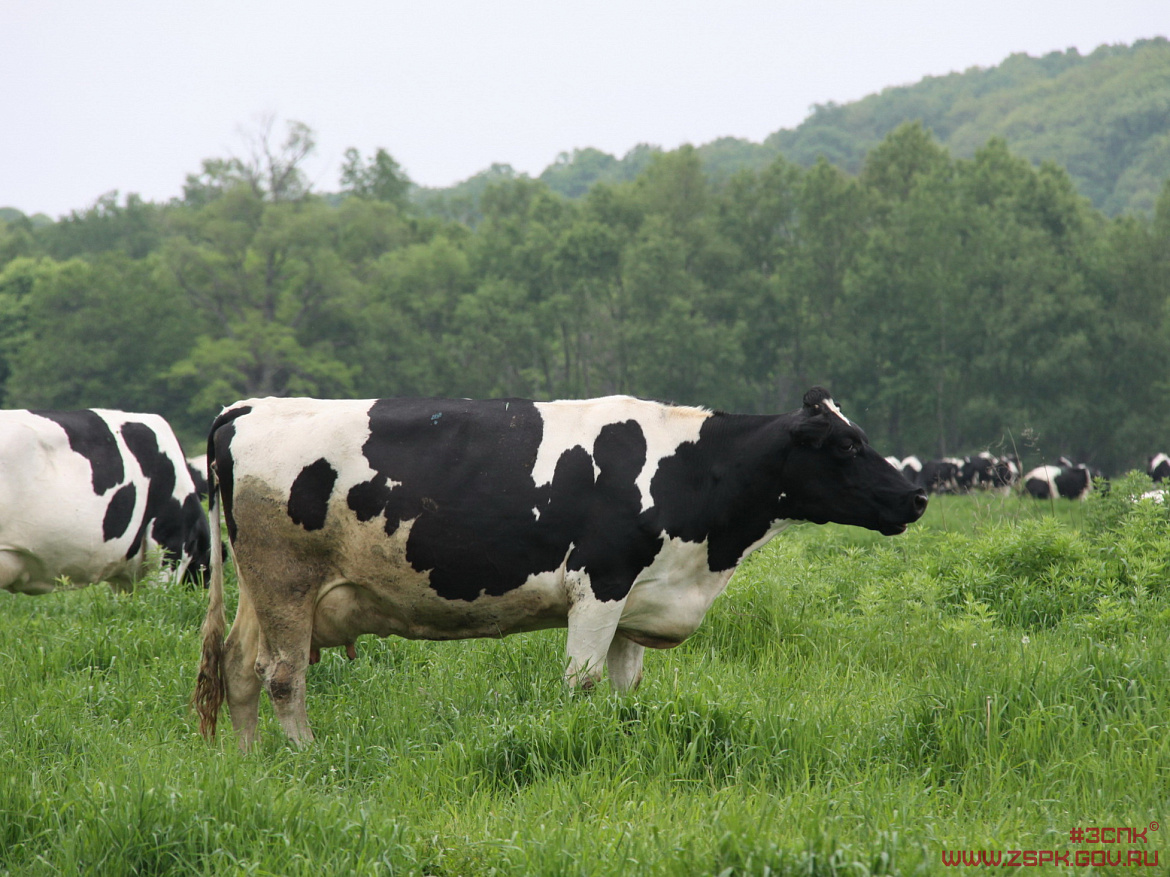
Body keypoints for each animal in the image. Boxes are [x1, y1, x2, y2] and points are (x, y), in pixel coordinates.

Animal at [194, 390, 921, 748]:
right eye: (846, 445)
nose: (915, 496)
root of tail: (247, 407)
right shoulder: (599, 584)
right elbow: (582, 682)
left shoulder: (637, 599)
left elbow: (627, 692)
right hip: (287, 580)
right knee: (282, 676)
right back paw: (306, 757)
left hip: (264, 591)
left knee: (238, 669)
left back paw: (247, 762)